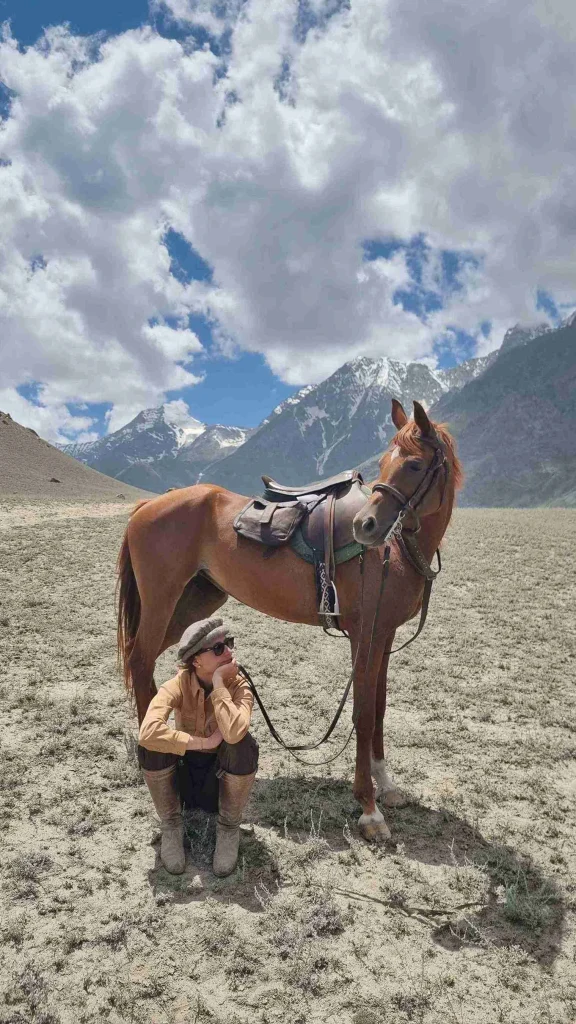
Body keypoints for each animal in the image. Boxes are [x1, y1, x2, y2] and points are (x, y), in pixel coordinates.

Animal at [117, 398, 463, 842]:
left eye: (416, 464)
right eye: (386, 462)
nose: (365, 526)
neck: (395, 551)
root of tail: (148, 506)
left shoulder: (383, 637)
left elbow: (380, 709)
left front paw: (386, 786)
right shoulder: (363, 636)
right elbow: (363, 714)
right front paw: (369, 809)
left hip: (191, 606)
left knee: (150, 662)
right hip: (163, 602)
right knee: (141, 661)